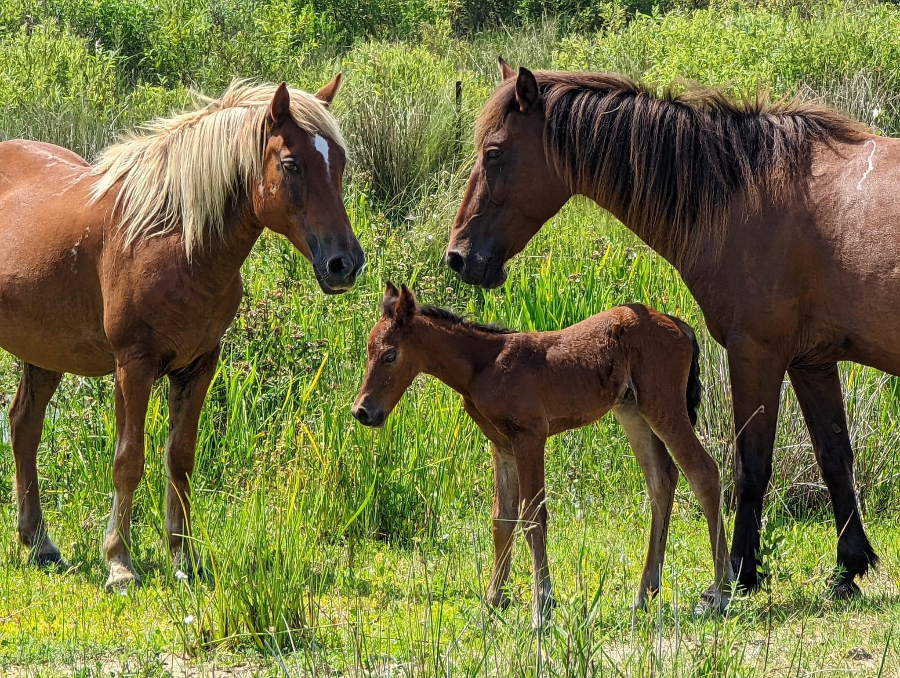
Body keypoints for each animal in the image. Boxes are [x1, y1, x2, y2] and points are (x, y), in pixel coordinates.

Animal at [0, 76, 365, 591]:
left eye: (340, 161)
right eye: (292, 164)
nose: (344, 264)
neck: (176, 239)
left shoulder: (198, 366)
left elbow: (181, 459)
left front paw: (183, 557)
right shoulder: (133, 367)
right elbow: (128, 461)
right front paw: (119, 563)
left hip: (45, 353)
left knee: (24, 427)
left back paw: (39, 542)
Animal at [352, 282, 734, 626]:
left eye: (390, 355)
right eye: (368, 351)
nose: (363, 412)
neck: (483, 366)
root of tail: (680, 325)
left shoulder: (530, 437)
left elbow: (534, 516)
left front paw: (542, 608)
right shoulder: (502, 445)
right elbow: (502, 518)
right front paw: (492, 602)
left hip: (662, 404)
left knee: (703, 472)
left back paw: (720, 593)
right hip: (632, 410)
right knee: (661, 480)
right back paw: (644, 593)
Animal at [446, 58, 890, 598]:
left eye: (493, 153)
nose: (458, 256)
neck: (746, 193)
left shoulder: (756, 353)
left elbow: (750, 467)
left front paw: (739, 572)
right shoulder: (812, 362)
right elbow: (834, 457)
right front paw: (849, 567)